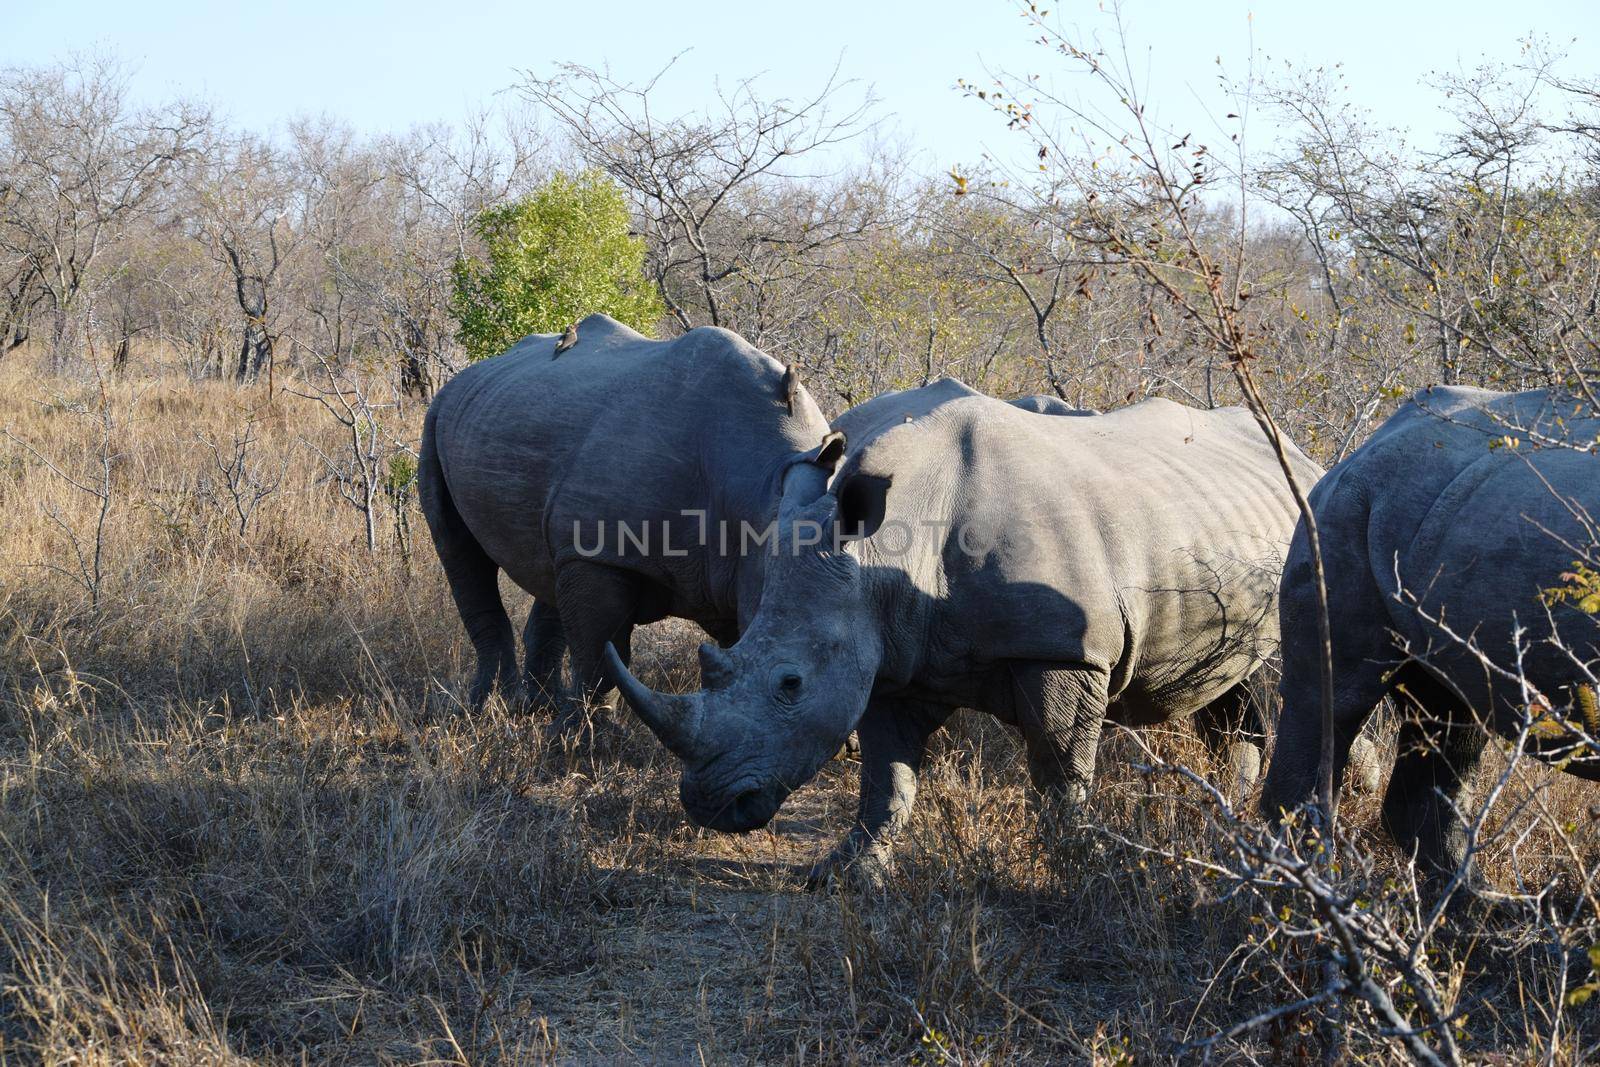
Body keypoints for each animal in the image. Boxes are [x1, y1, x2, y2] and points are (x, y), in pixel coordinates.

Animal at [412, 313, 838, 723]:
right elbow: (601, 655)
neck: (761, 486)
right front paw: (582, 738)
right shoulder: (604, 555)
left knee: (549, 564)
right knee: (459, 550)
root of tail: (473, 371)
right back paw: (487, 710)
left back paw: (538, 708)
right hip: (436, 419)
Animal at [604, 379, 1318, 883]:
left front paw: (1079, 873)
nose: (707, 805)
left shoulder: (1064, 650)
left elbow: (1060, 771)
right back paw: (1230, 820)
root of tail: (1301, 454)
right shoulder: (888, 649)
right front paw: (847, 875)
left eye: (790, 684)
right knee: (1227, 687)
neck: (884, 549)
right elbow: (886, 778)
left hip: (1302, 525)